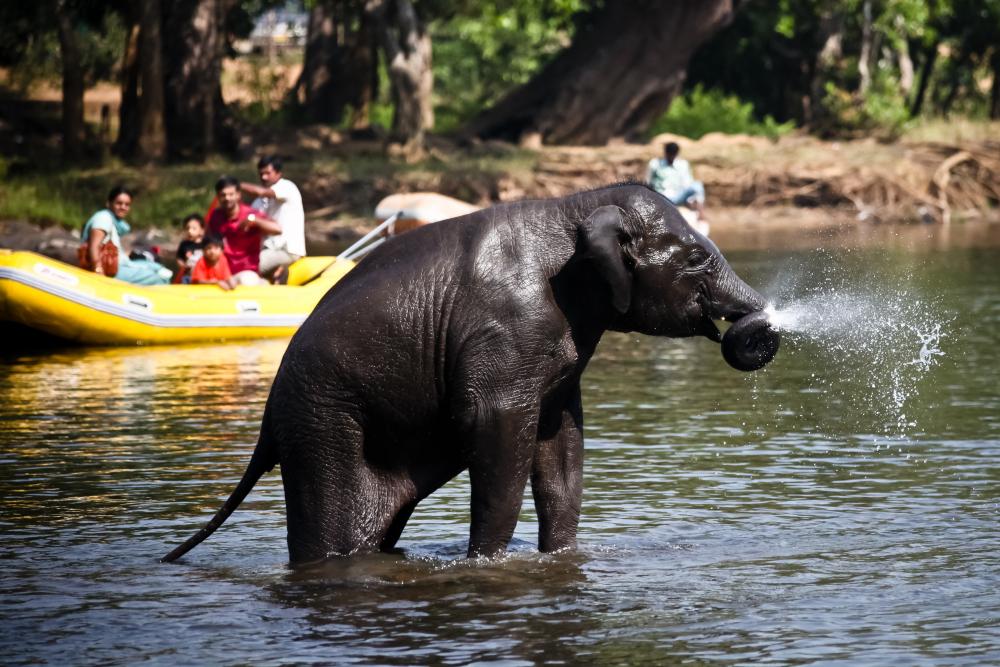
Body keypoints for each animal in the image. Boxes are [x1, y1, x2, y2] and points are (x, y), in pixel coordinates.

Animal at [160, 185, 776, 568]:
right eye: (696, 258)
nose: (752, 333)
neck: (575, 208)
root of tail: (266, 424)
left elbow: (561, 447)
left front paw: (561, 560)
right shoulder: (506, 333)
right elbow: (498, 430)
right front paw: (487, 564)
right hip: (324, 423)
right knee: (331, 532)